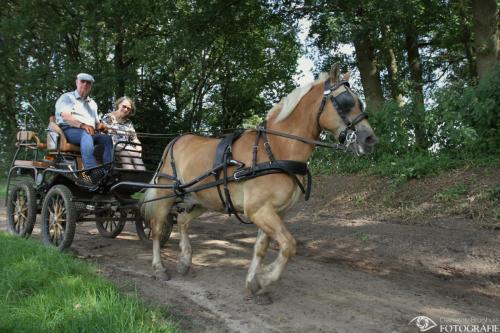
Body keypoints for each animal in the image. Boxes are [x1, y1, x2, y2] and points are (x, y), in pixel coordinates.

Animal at [140, 63, 376, 300]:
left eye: (360, 102)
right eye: (345, 101)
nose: (370, 139)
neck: (276, 149)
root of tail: (175, 140)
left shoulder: (275, 211)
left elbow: (261, 248)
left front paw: (253, 282)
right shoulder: (258, 210)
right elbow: (288, 246)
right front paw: (266, 277)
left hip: (201, 200)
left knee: (182, 221)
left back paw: (184, 261)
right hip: (165, 195)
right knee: (157, 228)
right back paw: (159, 268)